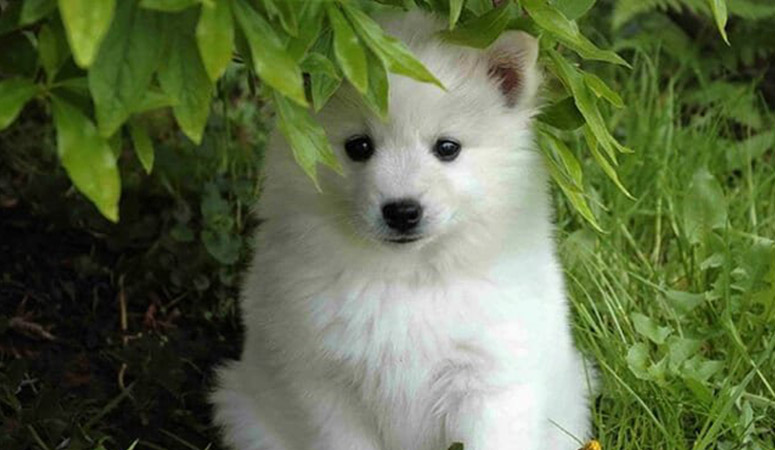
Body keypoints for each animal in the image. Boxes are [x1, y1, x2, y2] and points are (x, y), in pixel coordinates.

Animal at [209, 9, 592, 450]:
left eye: (447, 148)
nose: (403, 211)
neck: (408, 279)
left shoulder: (489, 379)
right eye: (358, 146)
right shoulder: (327, 386)